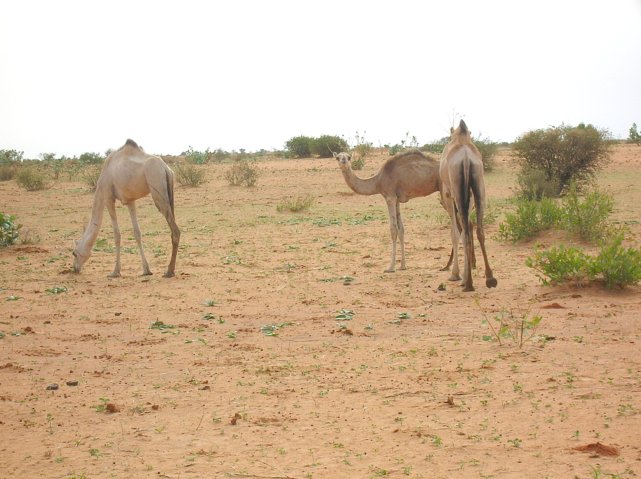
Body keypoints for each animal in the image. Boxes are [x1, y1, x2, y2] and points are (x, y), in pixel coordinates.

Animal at [72, 139, 180, 280]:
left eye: (74, 253)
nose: (74, 268)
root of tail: (166, 169)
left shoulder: (108, 197)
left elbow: (117, 234)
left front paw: (115, 272)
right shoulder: (130, 201)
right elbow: (137, 232)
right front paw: (146, 270)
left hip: (157, 190)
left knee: (175, 231)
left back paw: (169, 271)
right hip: (169, 193)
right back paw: (170, 270)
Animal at [438, 120, 498, 292]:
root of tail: (465, 158)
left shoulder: (448, 194)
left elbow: (455, 232)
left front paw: (455, 275)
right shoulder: (469, 194)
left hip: (458, 190)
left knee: (464, 232)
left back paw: (468, 283)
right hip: (479, 186)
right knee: (479, 230)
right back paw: (490, 278)